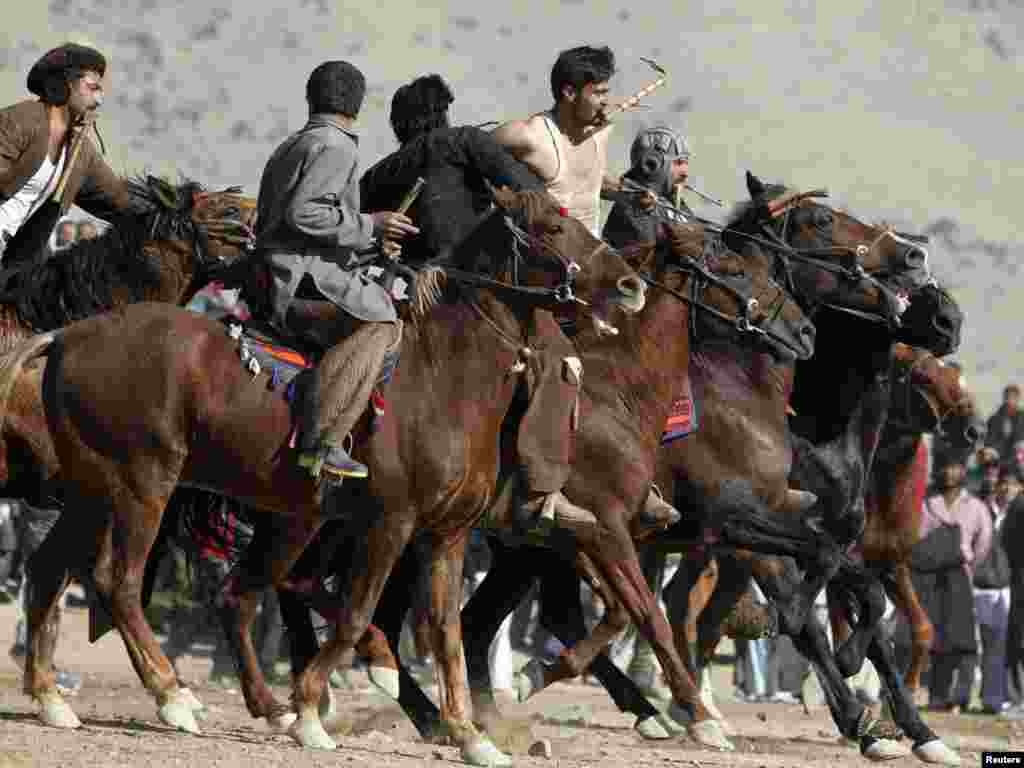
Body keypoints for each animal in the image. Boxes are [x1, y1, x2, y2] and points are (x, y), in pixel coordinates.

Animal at [0, 188, 643, 768]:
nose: (631, 285)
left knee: (69, 572)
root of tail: (67, 335)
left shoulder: (446, 535)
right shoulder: (390, 522)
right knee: (120, 581)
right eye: (553, 227)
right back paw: (172, 696)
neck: (446, 378)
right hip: (142, 487)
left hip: (102, 494)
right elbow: (359, 613)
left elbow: (446, 632)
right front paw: (312, 711)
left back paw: (56, 698)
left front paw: (468, 735)